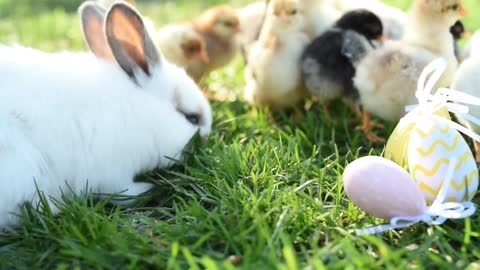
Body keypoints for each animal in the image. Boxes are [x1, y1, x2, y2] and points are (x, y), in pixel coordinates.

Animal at [0, 1, 212, 230]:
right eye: (191, 117)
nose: (206, 139)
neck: (140, 110)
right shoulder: (114, 172)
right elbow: (122, 192)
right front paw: (146, 187)